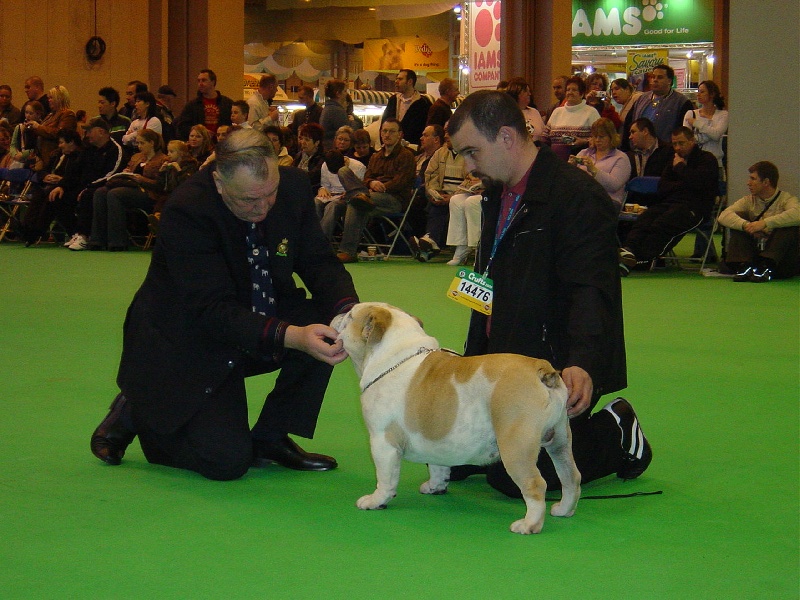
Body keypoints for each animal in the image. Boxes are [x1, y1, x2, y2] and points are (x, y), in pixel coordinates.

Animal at [331, 302, 581, 535]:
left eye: (350, 316)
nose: (339, 313)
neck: (393, 357)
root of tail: (541, 369)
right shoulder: (437, 441)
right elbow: (437, 465)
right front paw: (436, 486)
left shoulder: (383, 443)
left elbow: (385, 478)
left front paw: (376, 500)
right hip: (560, 439)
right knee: (570, 476)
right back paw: (564, 510)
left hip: (515, 446)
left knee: (536, 484)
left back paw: (529, 524)